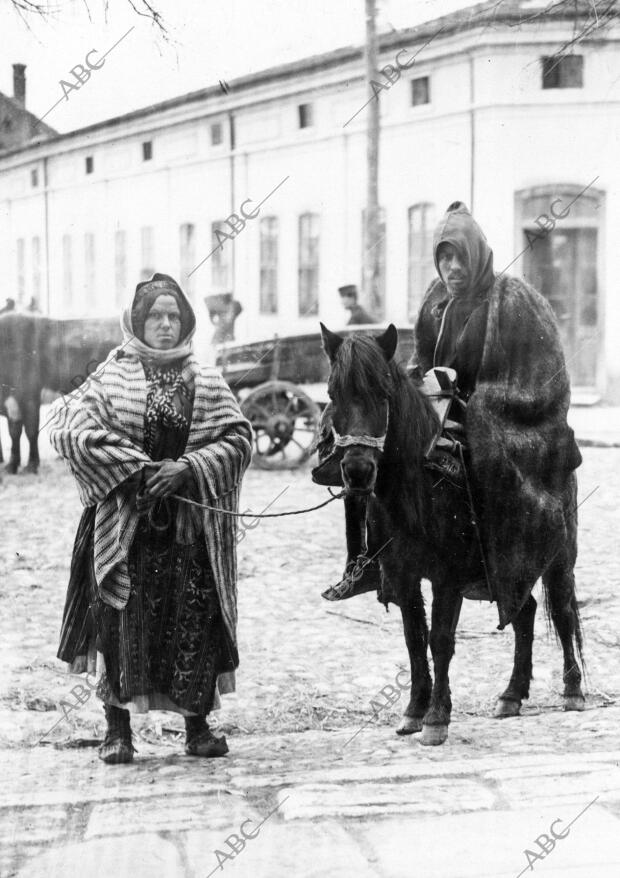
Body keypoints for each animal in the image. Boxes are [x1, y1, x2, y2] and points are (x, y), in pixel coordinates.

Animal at [320, 324, 588, 748]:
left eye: (384, 393)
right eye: (333, 394)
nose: (358, 471)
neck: (419, 488)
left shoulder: (447, 578)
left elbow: (440, 640)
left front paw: (436, 718)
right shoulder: (404, 576)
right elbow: (414, 639)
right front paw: (414, 710)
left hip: (559, 557)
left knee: (561, 609)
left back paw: (573, 690)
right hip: (504, 571)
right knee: (525, 611)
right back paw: (512, 695)